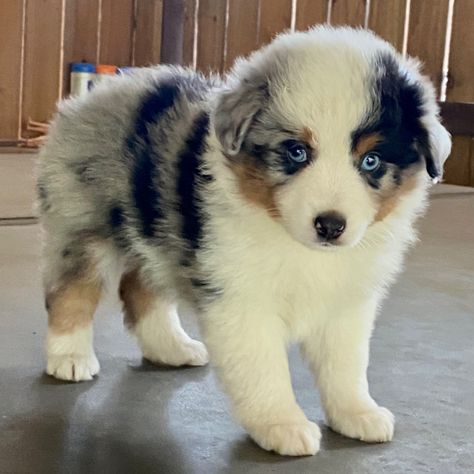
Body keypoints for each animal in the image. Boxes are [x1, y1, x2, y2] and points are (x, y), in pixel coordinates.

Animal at [39, 25, 450, 456]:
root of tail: (104, 90)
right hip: (83, 224)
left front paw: (358, 413)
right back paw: (70, 357)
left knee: (141, 289)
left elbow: (346, 363)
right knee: (72, 291)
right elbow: (264, 368)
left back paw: (171, 348)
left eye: (371, 161)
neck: (296, 243)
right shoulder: (241, 300)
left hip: (157, 235)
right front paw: (282, 425)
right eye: (296, 152)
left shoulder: (346, 302)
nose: (330, 225)